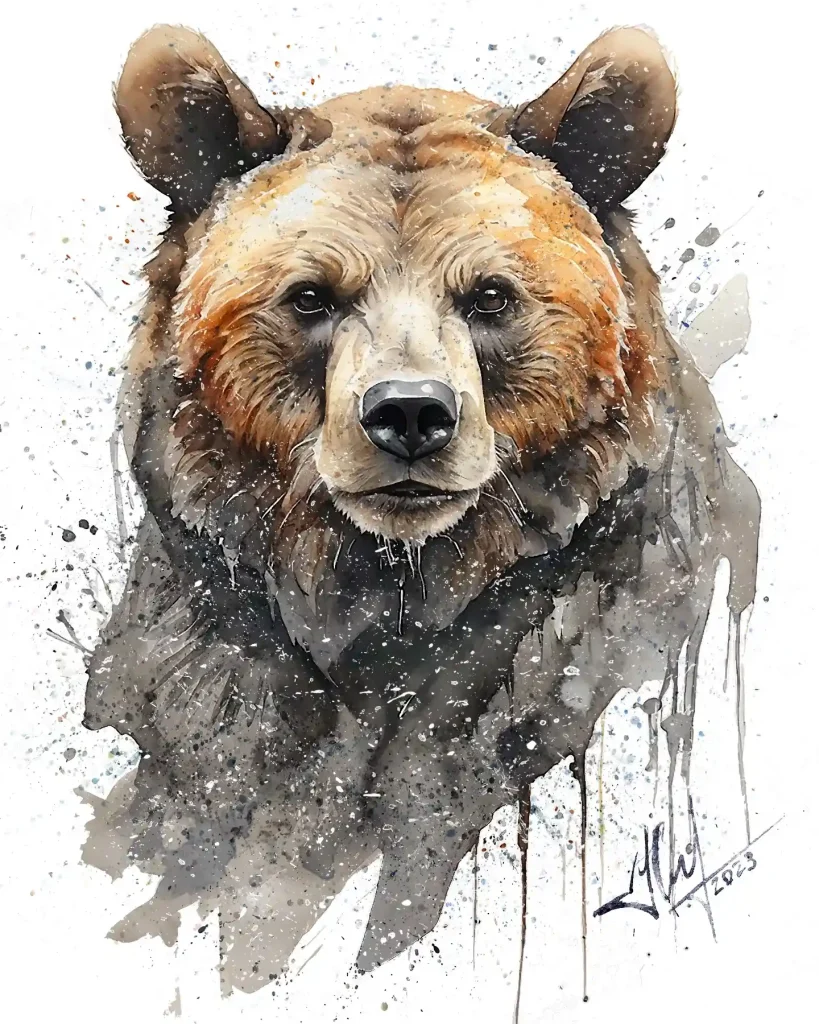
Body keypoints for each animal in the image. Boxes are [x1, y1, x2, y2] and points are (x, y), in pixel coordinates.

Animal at [83, 23, 760, 989]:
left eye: (490, 295)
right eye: (311, 295)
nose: (409, 413)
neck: (391, 593)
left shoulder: (572, 639)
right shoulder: (214, 681)